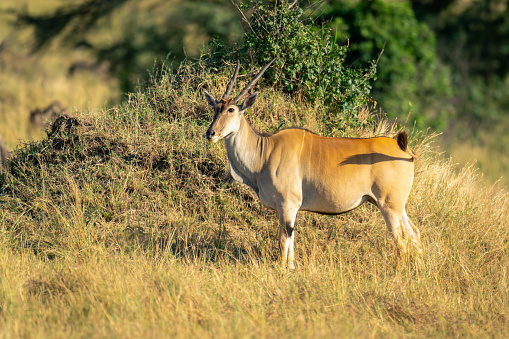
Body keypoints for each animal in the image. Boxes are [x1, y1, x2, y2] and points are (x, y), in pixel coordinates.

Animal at [203, 59, 420, 270]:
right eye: (215, 108)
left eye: (231, 109)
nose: (210, 133)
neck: (265, 151)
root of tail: (403, 149)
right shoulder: (286, 209)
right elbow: (290, 239)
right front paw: (291, 267)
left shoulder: (287, 205)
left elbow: (283, 240)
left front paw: (282, 269)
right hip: (397, 206)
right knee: (414, 234)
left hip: (389, 206)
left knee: (400, 242)